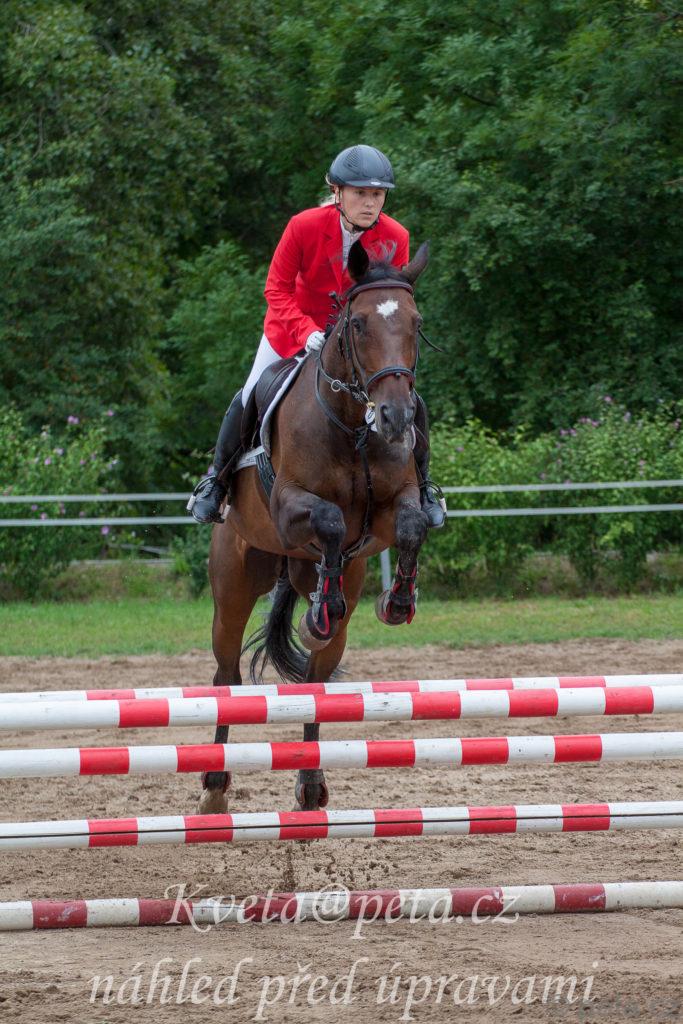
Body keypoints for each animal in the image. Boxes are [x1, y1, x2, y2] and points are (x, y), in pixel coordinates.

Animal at [199, 239, 432, 814]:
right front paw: (320, 612)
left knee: (316, 681)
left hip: (323, 593)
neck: (351, 424)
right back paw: (214, 788)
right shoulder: (288, 507)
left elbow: (413, 524)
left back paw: (310, 783)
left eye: (415, 323)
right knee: (226, 678)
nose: (395, 417)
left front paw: (398, 602)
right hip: (233, 586)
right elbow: (327, 519)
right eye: (359, 324)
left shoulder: (392, 509)